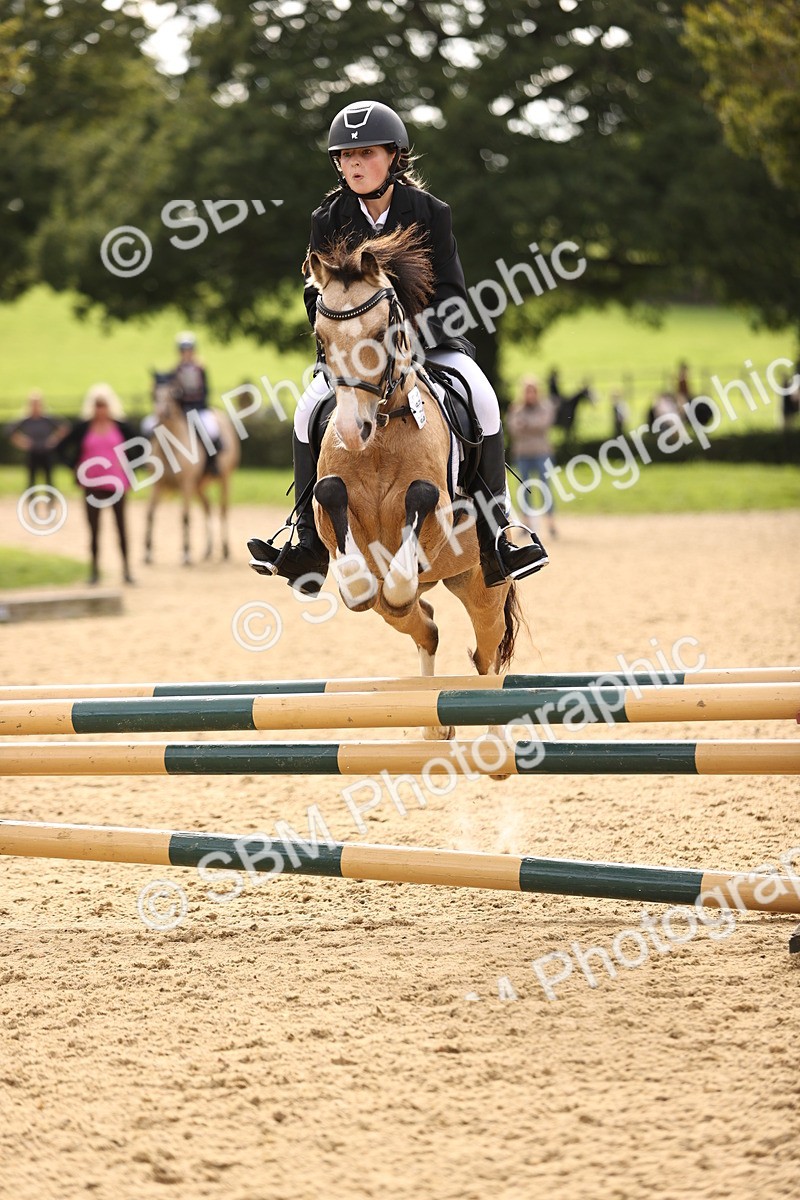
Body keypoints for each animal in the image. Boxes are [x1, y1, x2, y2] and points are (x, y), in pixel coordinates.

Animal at [143, 371, 240, 566]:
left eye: (172, 393)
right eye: (153, 393)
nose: (161, 413)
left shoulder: (186, 485)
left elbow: (185, 516)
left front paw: (186, 553)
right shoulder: (158, 485)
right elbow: (150, 513)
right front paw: (148, 553)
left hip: (224, 479)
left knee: (223, 510)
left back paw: (225, 550)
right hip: (199, 486)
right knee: (207, 507)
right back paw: (208, 550)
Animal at [306, 225, 523, 741]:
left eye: (381, 333)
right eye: (321, 337)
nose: (351, 431)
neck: (382, 434)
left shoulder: (439, 511)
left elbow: (419, 504)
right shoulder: (332, 512)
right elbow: (332, 501)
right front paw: (362, 583)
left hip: (484, 587)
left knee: (487, 656)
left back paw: (493, 743)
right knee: (425, 626)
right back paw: (433, 726)